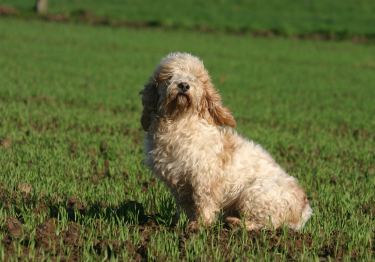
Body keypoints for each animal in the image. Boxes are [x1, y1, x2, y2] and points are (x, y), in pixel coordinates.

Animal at [140, 52, 312, 230]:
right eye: (170, 76)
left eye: (195, 78)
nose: (184, 85)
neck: (178, 122)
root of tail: (304, 210)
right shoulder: (179, 183)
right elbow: (187, 205)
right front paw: (185, 223)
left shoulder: (205, 177)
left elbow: (204, 201)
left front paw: (201, 225)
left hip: (252, 195)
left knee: (267, 224)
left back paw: (234, 222)